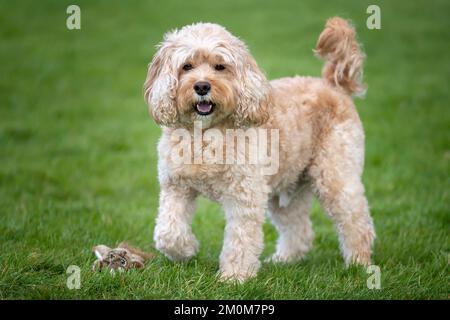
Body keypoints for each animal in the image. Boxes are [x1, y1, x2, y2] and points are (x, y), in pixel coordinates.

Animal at [144, 18, 376, 282]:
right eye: (187, 66)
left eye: (220, 66)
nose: (202, 86)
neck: (205, 134)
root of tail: (333, 84)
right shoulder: (175, 187)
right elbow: (167, 232)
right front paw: (186, 250)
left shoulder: (245, 194)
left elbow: (241, 239)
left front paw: (234, 277)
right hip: (287, 187)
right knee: (299, 227)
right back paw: (284, 259)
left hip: (335, 175)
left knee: (356, 221)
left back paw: (359, 263)